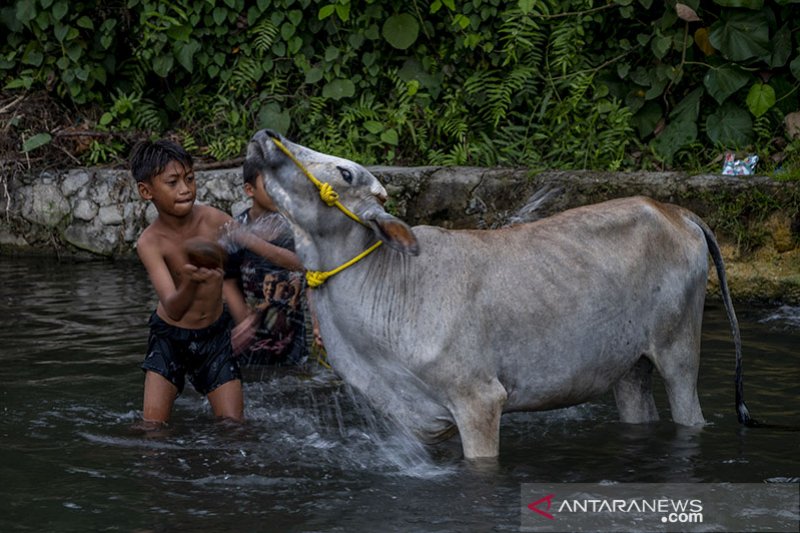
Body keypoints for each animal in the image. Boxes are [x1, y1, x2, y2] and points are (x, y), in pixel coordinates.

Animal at [244, 130, 752, 458]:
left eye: (345, 173)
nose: (265, 134)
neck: (387, 280)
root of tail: (676, 210)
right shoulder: (411, 419)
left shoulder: (479, 398)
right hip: (628, 368)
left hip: (678, 350)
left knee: (689, 409)